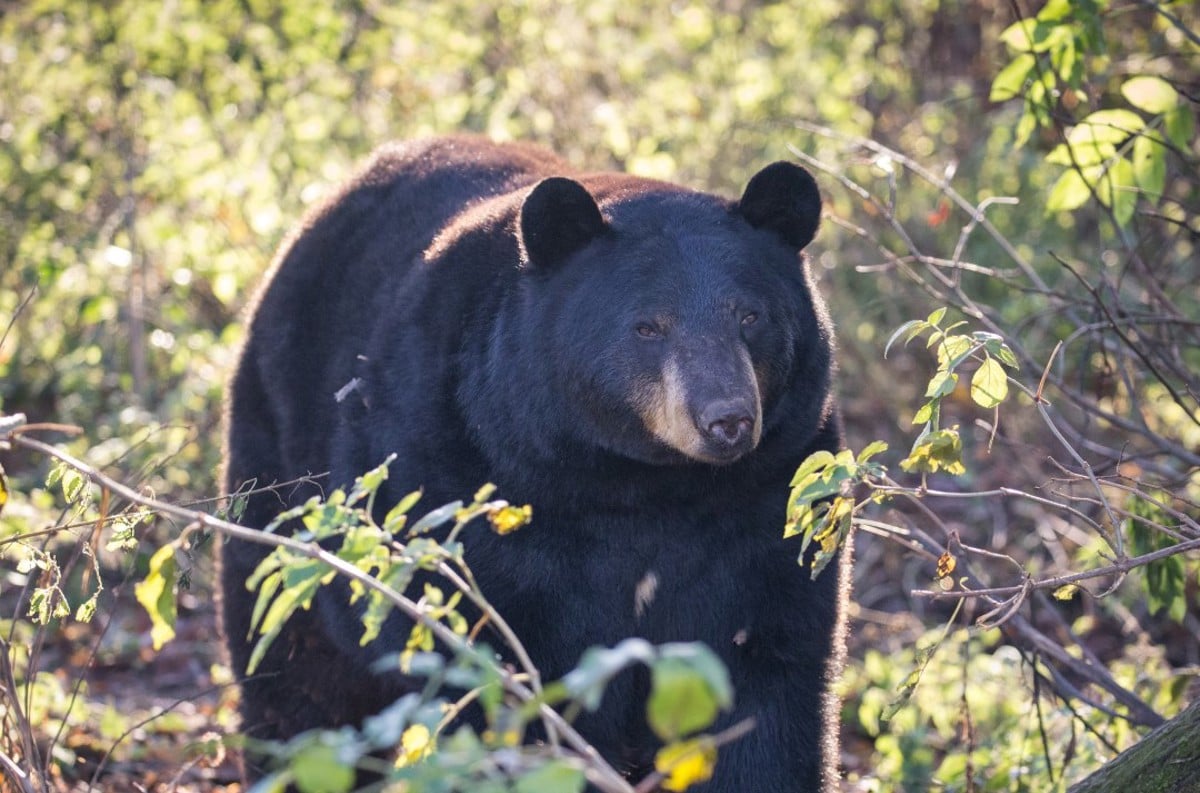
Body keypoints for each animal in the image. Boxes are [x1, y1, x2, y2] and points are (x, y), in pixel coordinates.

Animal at [223, 133, 844, 787]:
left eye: (750, 315)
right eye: (648, 326)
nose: (727, 419)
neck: (642, 486)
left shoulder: (773, 497)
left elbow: (765, 684)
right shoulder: (470, 482)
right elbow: (506, 685)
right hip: (285, 475)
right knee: (297, 673)